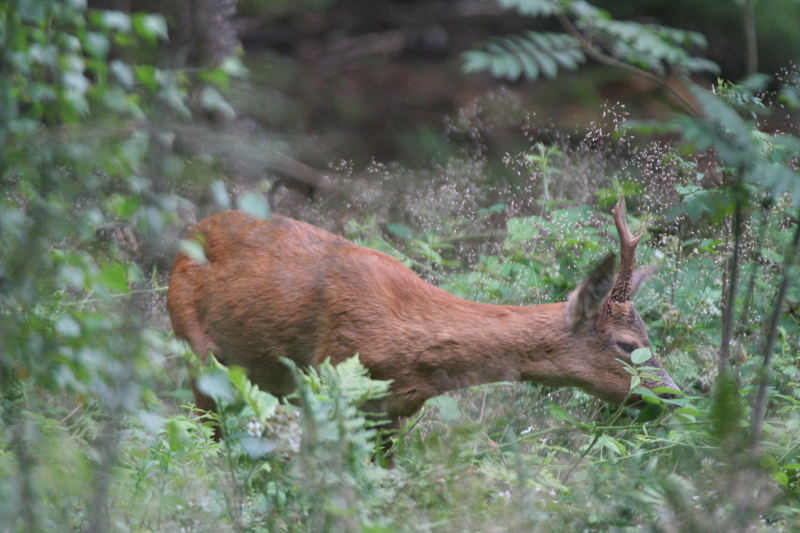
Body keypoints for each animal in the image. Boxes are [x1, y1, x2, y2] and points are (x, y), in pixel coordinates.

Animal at [167, 197, 676, 434]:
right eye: (627, 345)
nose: (675, 395)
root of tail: (189, 233)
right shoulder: (332, 374)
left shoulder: (391, 410)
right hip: (194, 346)